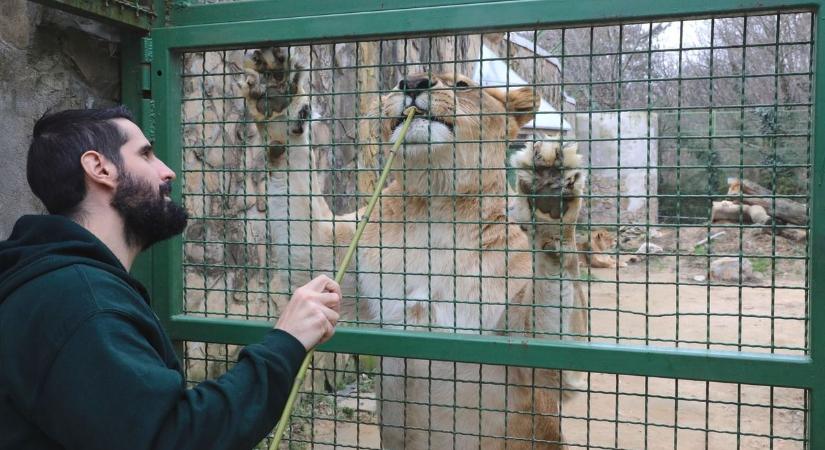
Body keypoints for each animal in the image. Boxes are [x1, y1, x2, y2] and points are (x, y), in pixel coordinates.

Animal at [241, 47, 588, 448]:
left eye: (462, 84)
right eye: (398, 81)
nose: (413, 83)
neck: (435, 209)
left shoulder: (540, 363)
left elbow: (553, 315)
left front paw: (550, 191)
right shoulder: (329, 253)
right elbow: (296, 205)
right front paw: (276, 96)